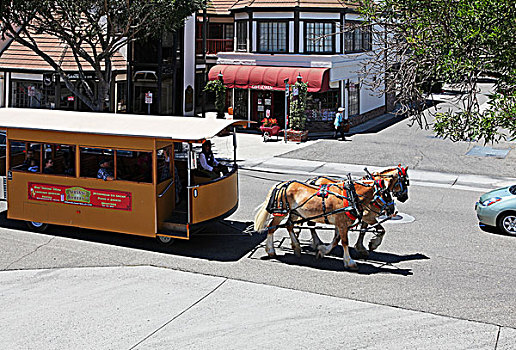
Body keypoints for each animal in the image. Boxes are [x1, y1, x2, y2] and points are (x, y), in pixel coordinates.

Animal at [254, 179, 396, 270]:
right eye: (386, 194)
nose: (392, 210)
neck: (351, 196)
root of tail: (282, 184)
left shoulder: (340, 224)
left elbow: (336, 240)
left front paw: (322, 251)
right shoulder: (342, 224)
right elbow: (344, 242)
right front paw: (349, 262)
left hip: (295, 213)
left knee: (289, 225)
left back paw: (297, 248)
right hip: (281, 213)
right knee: (271, 228)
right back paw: (271, 251)